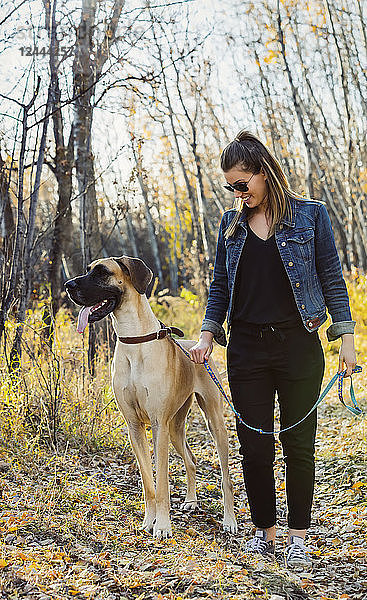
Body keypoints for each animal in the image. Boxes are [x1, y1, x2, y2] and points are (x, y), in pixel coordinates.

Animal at [65, 255, 239, 536]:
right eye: (88, 269)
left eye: (102, 272)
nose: (68, 286)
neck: (134, 340)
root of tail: (196, 348)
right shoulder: (135, 426)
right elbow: (148, 481)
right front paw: (149, 521)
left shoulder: (158, 425)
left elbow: (162, 481)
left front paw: (164, 526)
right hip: (176, 426)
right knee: (191, 460)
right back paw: (191, 501)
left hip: (213, 422)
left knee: (226, 477)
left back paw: (229, 520)